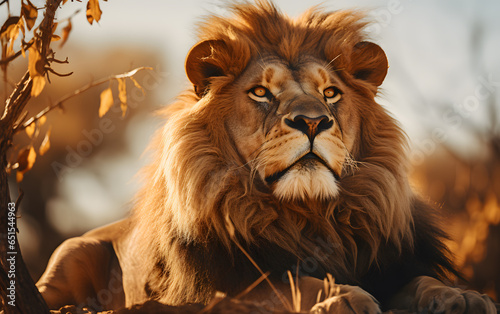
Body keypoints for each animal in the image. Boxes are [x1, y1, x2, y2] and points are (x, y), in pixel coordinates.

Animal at [36, 1, 496, 312]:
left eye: (331, 93)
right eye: (260, 92)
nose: (313, 121)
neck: (308, 214)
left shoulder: (389, 267)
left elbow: (422, 280)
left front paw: (462, 296)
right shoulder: (216, 288)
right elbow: (284, 283)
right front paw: (340, 297)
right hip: (71, 256)